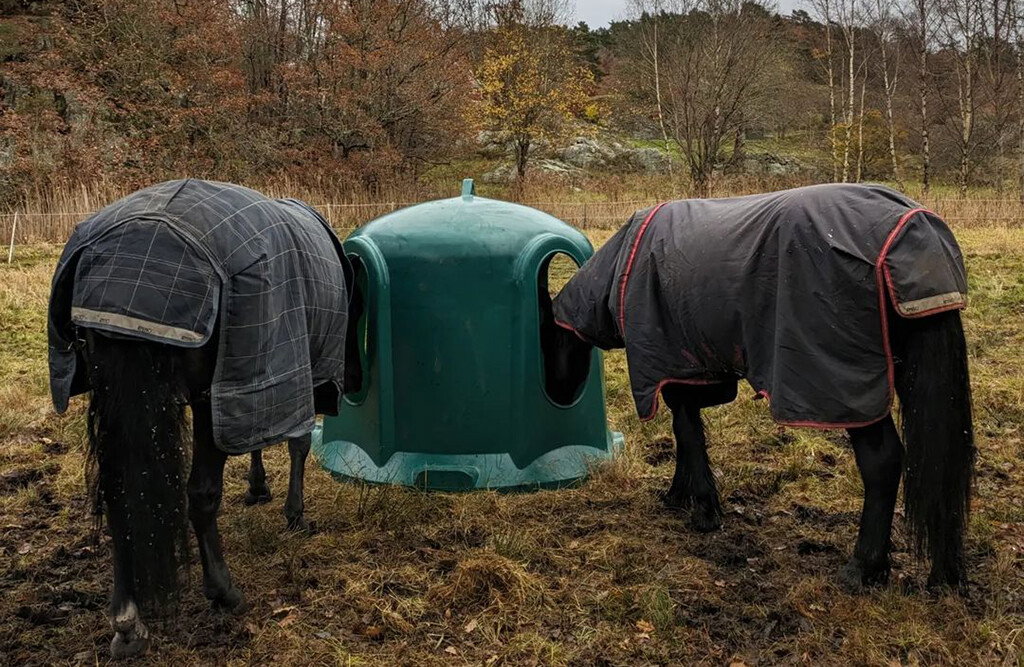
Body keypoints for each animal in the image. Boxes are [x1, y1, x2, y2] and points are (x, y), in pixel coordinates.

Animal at [48, 179, 364, 658]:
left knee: (119, 496)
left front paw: (257, 487)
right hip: (207, 396)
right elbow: (298, 444)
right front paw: (294, 514)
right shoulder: (291, 377)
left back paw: (127, 621)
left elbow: (257, 441)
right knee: (200, 495)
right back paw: (222, 590)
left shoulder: (254, 384)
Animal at [542, 183, 974, 591]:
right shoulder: (697, 373)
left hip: (847, 391)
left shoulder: (670, 367)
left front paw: (702, 508)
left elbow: (686, 432)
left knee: (883, 462)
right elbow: (687, 431)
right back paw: (943, 572)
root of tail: (914, 227)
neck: (623, 266)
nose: (558, 396)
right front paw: (681, 495)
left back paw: (864, 566)